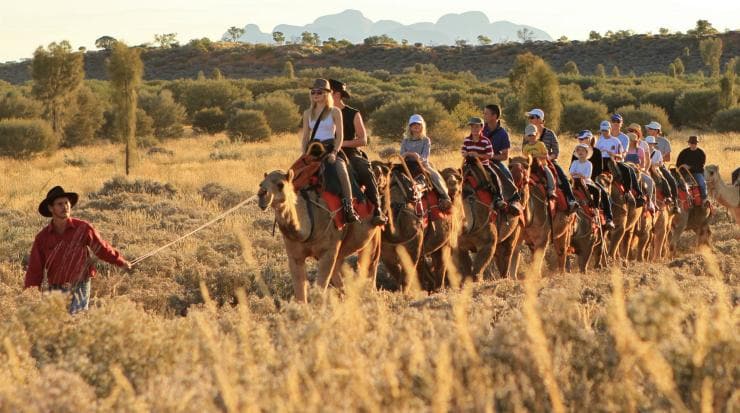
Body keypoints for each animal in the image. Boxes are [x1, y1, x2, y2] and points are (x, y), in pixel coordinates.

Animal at [258, 169, 382, 300]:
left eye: (280, 184)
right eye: (261, 184)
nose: (261, 194)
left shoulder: (327, 252)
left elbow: (320, 288)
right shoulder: (295, 255)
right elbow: (300, 293)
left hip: (375, 236)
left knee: (371, 264)